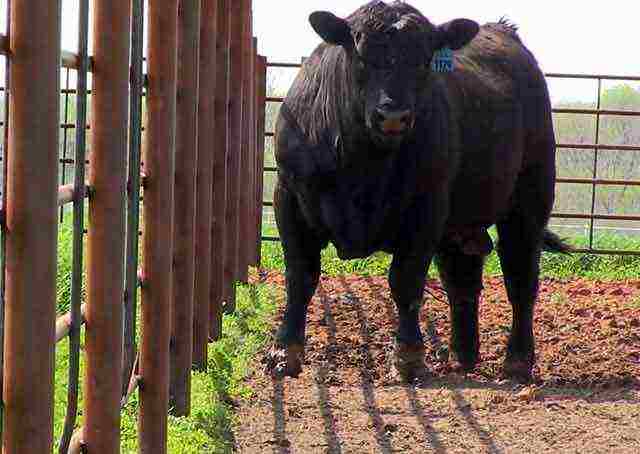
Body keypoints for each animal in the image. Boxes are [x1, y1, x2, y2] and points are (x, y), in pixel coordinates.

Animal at [264, 1, 568, 382]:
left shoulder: (426, 209)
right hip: (461, 224)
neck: (363, 166)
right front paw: (283, 352)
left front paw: (408, 357)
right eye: (361, 55)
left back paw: (517, 360)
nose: (393, 115)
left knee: (520, 275)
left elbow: (405, 280)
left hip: (530, 197)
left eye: (424, 60)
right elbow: (300, 275)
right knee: (463, 280)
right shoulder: (289, 197)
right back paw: (462, 355)